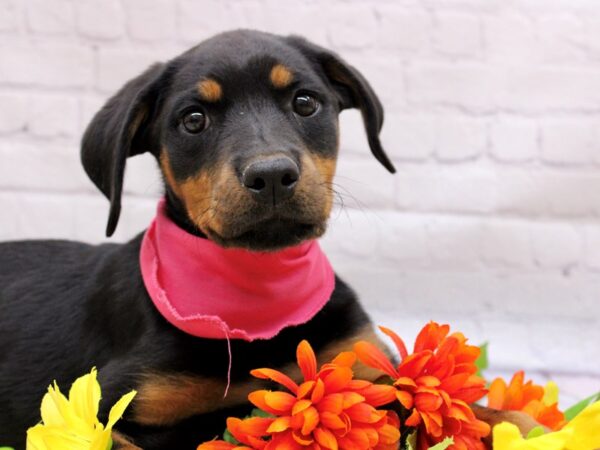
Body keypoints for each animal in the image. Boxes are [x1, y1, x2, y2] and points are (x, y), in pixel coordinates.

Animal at [0, 29, 536, 448]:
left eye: (305, 102)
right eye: (193, 119)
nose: (272, 174)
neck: (260, 299)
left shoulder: (361, 367)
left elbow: (468, 411)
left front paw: (522, 428)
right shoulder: (92, 412)